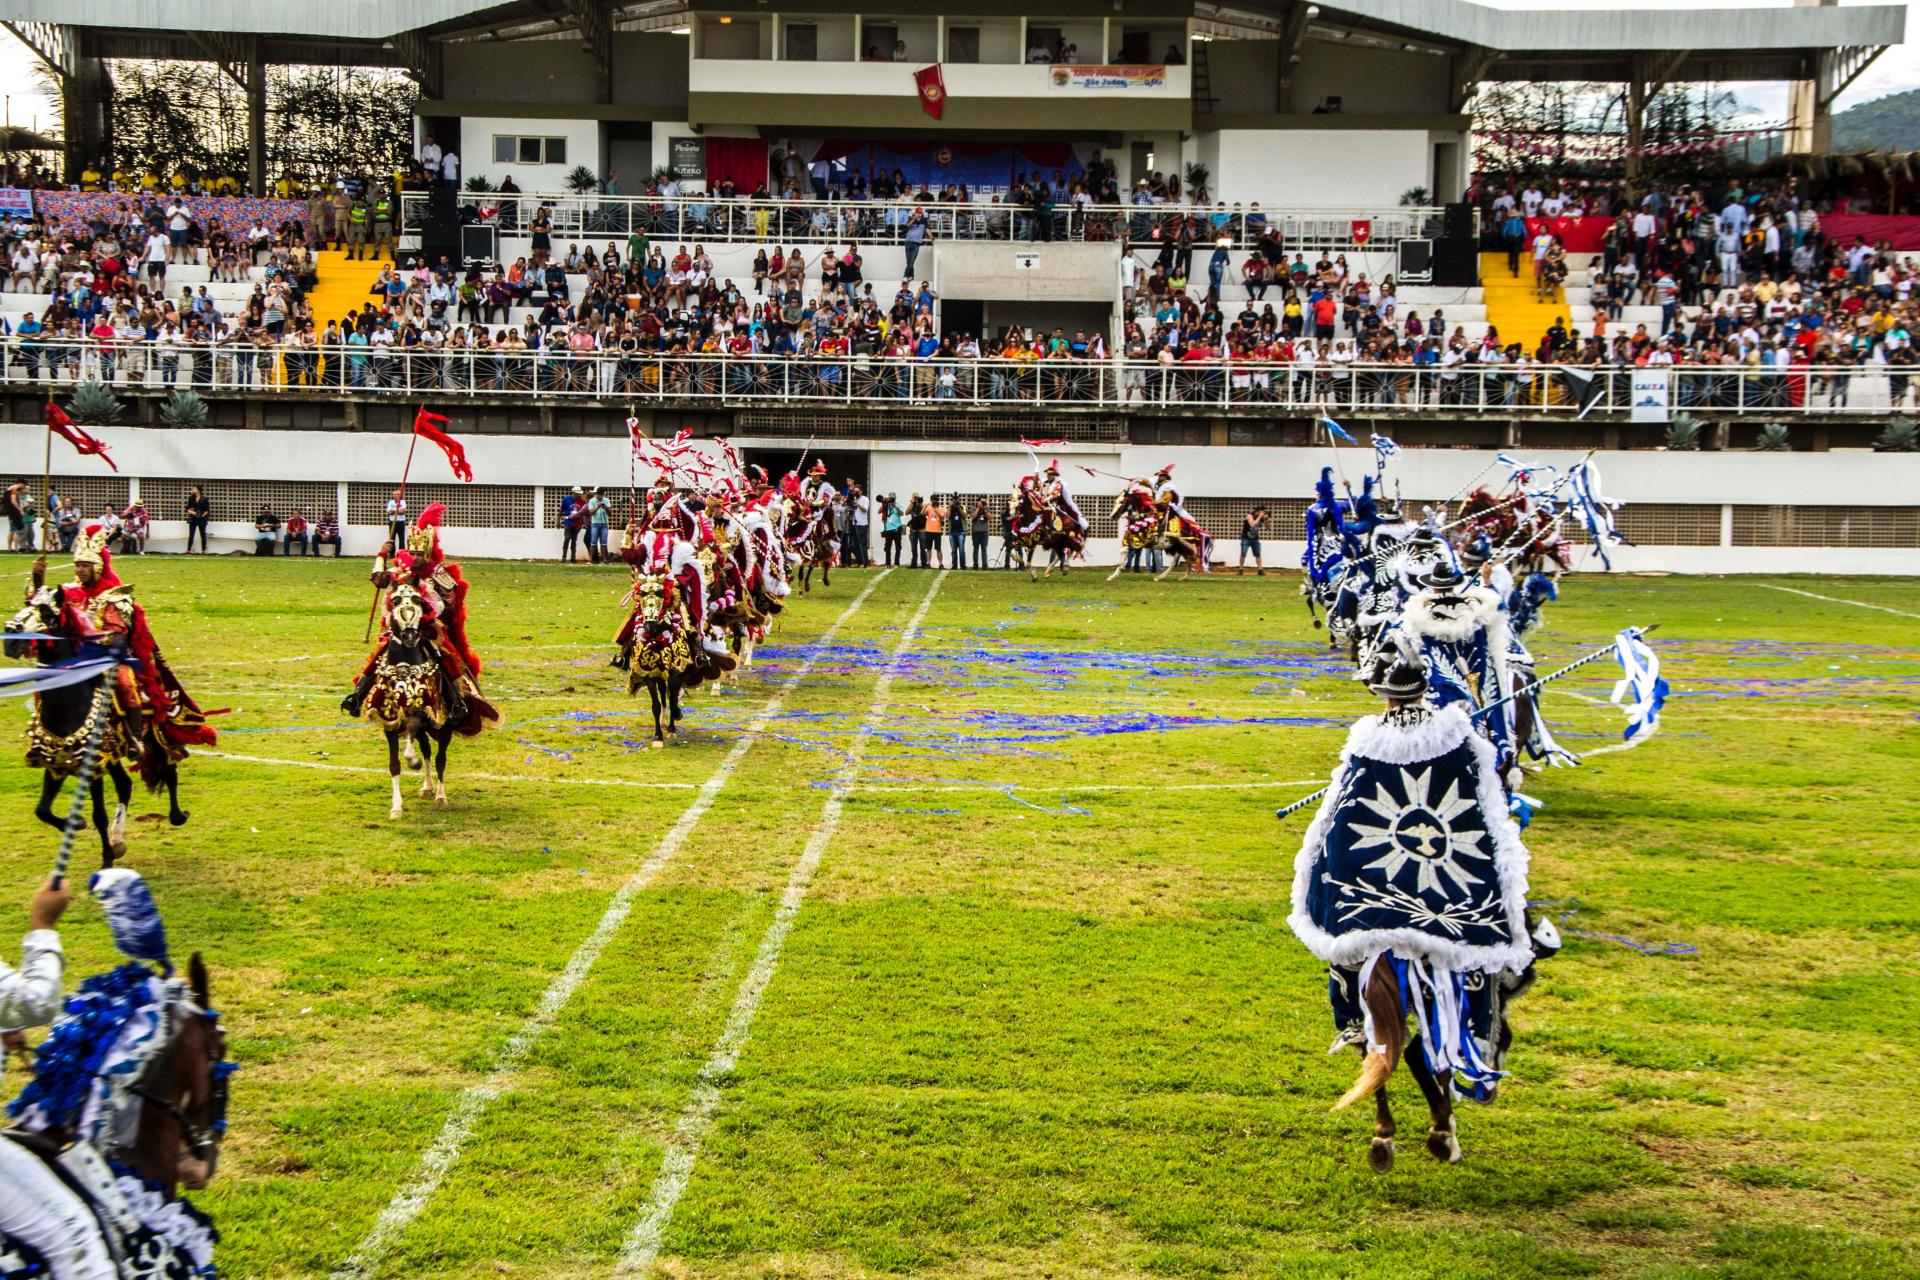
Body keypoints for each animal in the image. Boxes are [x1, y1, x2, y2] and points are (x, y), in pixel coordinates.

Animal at [6, 571, 189, 867]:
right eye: (27, 602)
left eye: (45, 611)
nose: (10, 636)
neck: (68, 703)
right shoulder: (56, 760)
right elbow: (42, 810)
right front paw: (79, 826)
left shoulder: (91, 766)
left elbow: (98, 815)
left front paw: (106, 859)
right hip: (113, 755)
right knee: (125, 785)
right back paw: (118, 839)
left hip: (154, 736)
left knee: (170, 769)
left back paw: (176, 816)